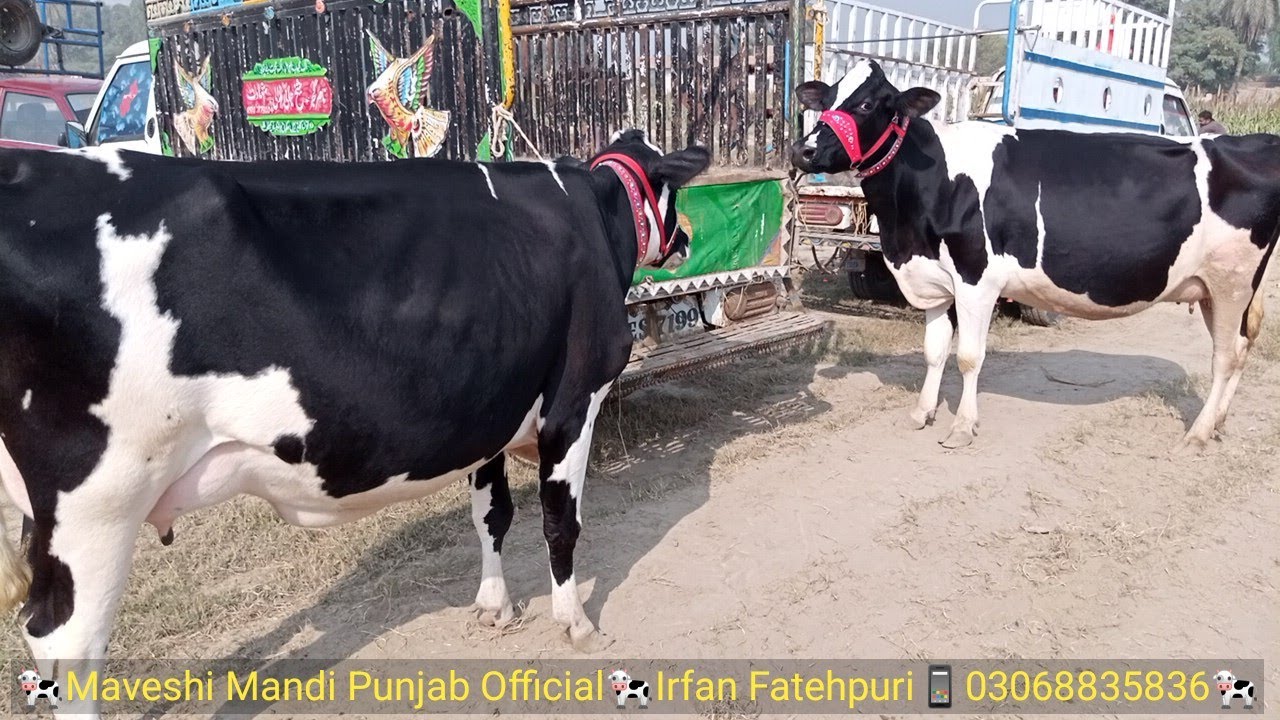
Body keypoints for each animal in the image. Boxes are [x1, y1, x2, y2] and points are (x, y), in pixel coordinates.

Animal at [0, 133, 710, 718]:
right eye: (672, 191)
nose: (687, 237)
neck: (592, 215)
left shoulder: (489, 407)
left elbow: (492, 514)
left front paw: (494, 607)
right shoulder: (573, 398)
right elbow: (561, 523)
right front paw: (577, 624)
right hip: (99, 500)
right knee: (67, 641)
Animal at [789, 60, 1279, 451]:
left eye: (869, 105)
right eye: (829, 96)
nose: (804, 149)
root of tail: (1251, 142)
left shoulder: (977, 279)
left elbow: (968, 356)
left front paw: (962, 427)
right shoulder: (933, 278)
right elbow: (934, 350)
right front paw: (922, 413)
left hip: (1231, 282)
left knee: (1226, 356)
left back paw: (1197, 434)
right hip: (1217, 289)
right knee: (1239, 349)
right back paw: (1217, 424)